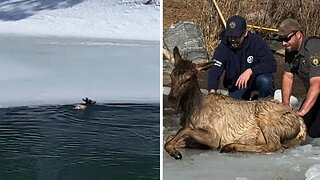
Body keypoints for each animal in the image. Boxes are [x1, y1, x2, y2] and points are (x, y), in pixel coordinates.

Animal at [165, 46, 308, 160]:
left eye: (188, 78)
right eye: (172, 75)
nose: (171, 98)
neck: (192, 110)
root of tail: (301, 126)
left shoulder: (215, 136)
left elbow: (185, 130)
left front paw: (175, 152)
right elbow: (170, 137)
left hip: (268, 119)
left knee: (275, 146)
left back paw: (230, 146)